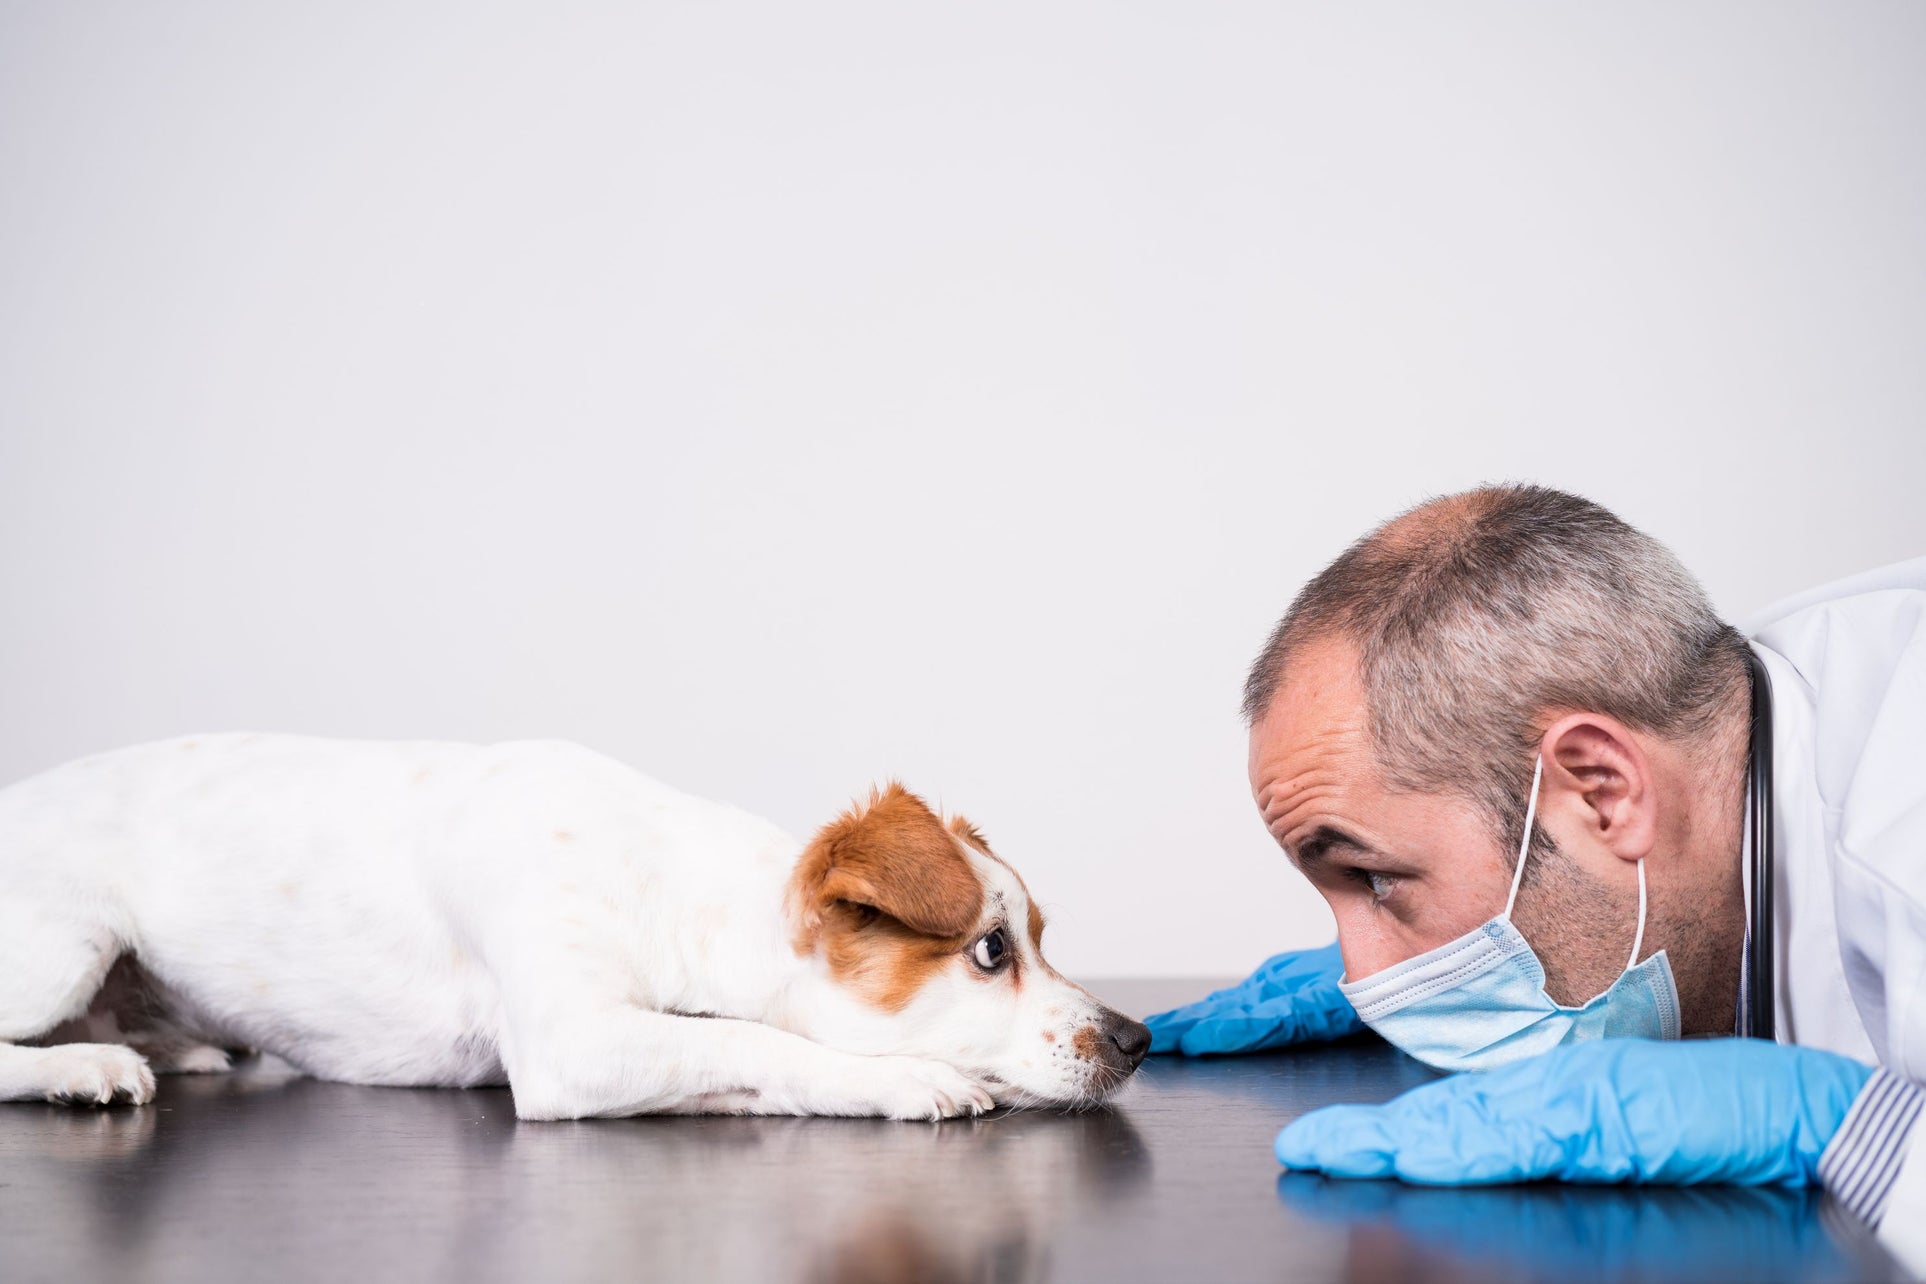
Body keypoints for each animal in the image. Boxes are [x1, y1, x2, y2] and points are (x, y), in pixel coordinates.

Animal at [0, 739, 1140, 1116]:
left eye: (1042, 935)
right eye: (992, 950)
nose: (1135, 1039)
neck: (663, 879)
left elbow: (738, 1055)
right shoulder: (571, 1046)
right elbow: (756, 1039)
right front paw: (907, 1081)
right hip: (66, 944)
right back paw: (85, 1068)